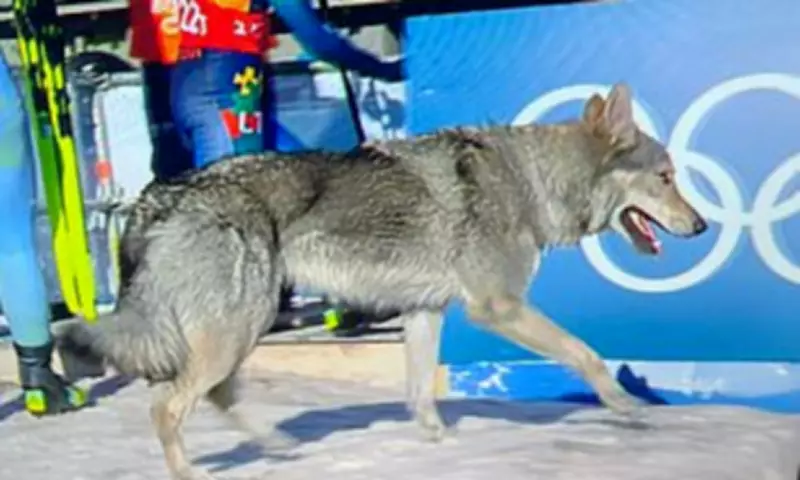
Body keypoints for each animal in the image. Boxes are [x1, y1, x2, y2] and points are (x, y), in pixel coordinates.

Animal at [60, 83, 707, 480]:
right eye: (666, 178)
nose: (701, 226)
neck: (531, 182)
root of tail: (159, 195)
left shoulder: (425, 313)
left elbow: (420, 396)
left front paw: (445, 450)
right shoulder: (497, 307)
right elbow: (587, 355)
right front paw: (628, 408)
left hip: (240, 332)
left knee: (215, 397)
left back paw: (280, 451)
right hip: (236, 332)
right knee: (165, 406)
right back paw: (195, 471)